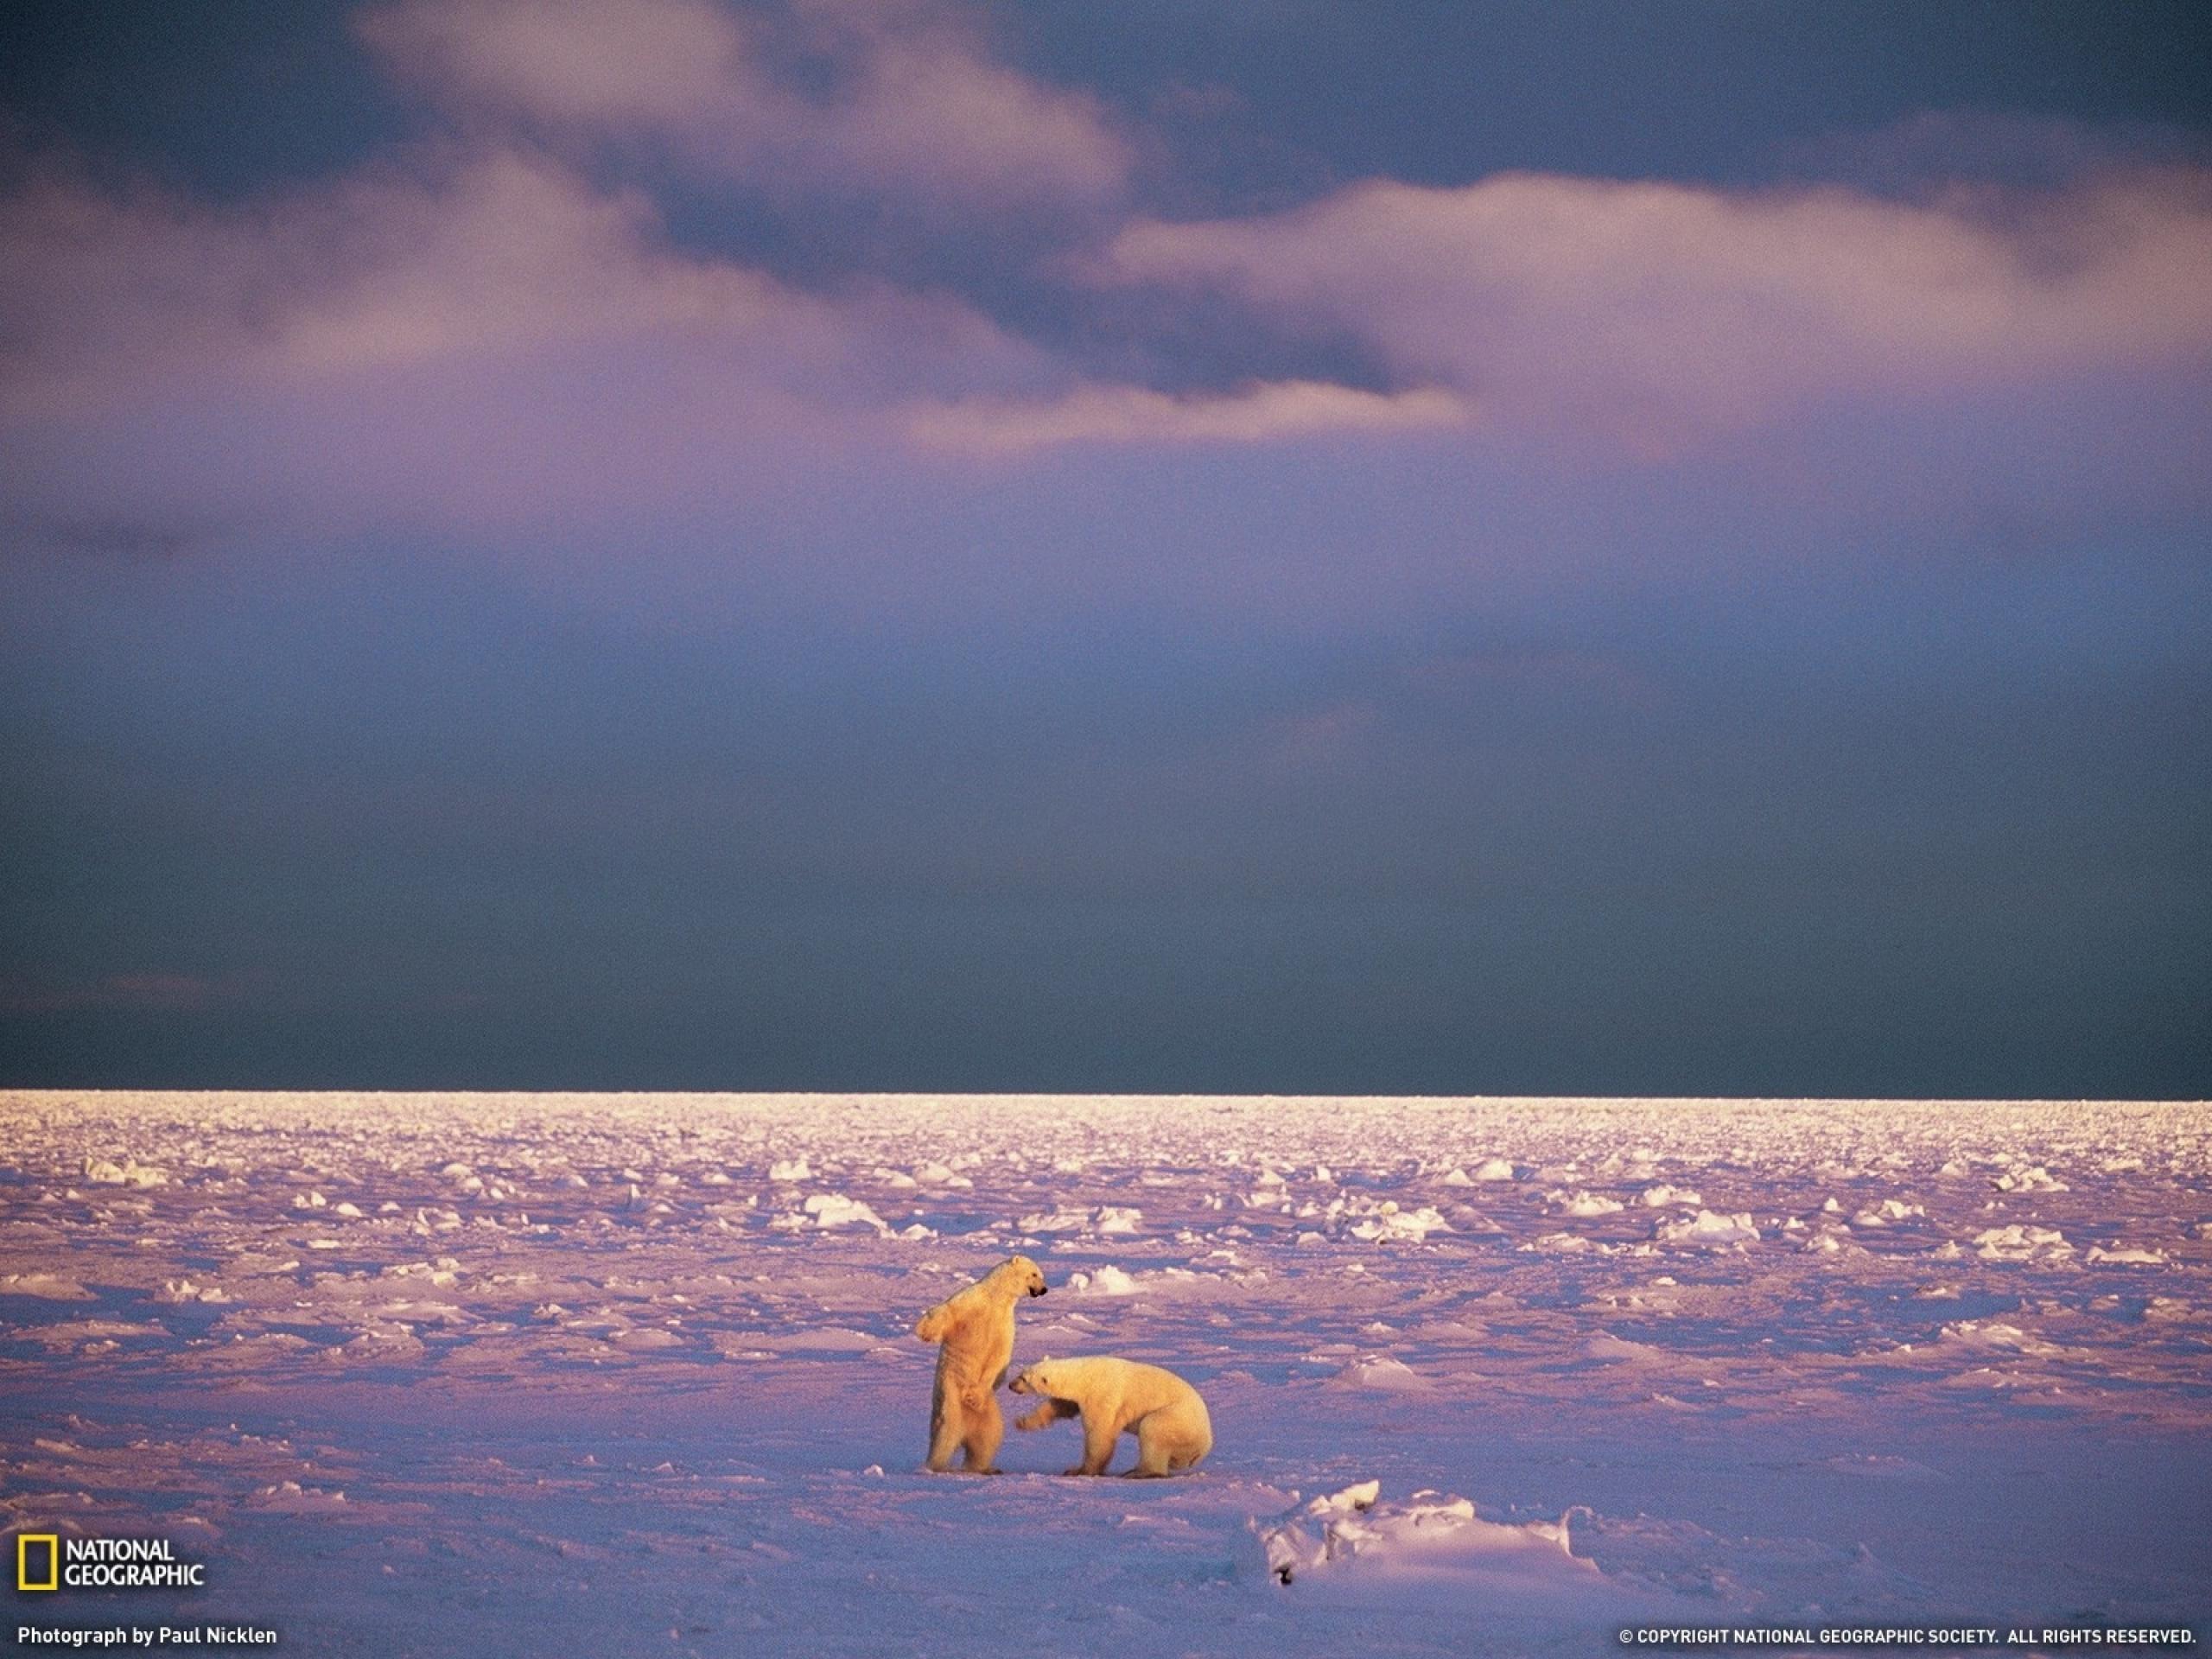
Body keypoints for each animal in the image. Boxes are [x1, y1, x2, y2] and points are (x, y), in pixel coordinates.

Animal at [913, 1255, 1048, 1473]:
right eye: (1035, 1274)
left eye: (1040, 1275)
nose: (1044, 1289)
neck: (997, 1299)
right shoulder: (973, 1300)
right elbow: (948, 1311)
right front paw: (925, 1332)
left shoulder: (1004, 1324)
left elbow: (999, 1358)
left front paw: (973, 1397)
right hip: (950, 1393)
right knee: (947, 1429)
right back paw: (937, 1465)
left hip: (988, 1409)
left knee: (989, 1436)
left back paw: (984, 1468)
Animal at [1009, 1355, 1212, 1477]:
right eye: (1021, 1372)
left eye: (1024, 1379)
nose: (1011, 1385)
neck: (1084, 1375)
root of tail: (1205, 1445)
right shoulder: (1078, 1398)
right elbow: (1062, 1406)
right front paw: (1022, 1422)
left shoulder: (1101, 1396)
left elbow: (1099, 1435)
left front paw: (1080, 1470)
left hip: (1177, 1420)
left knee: (1152, 1429)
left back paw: (1139, 1473)